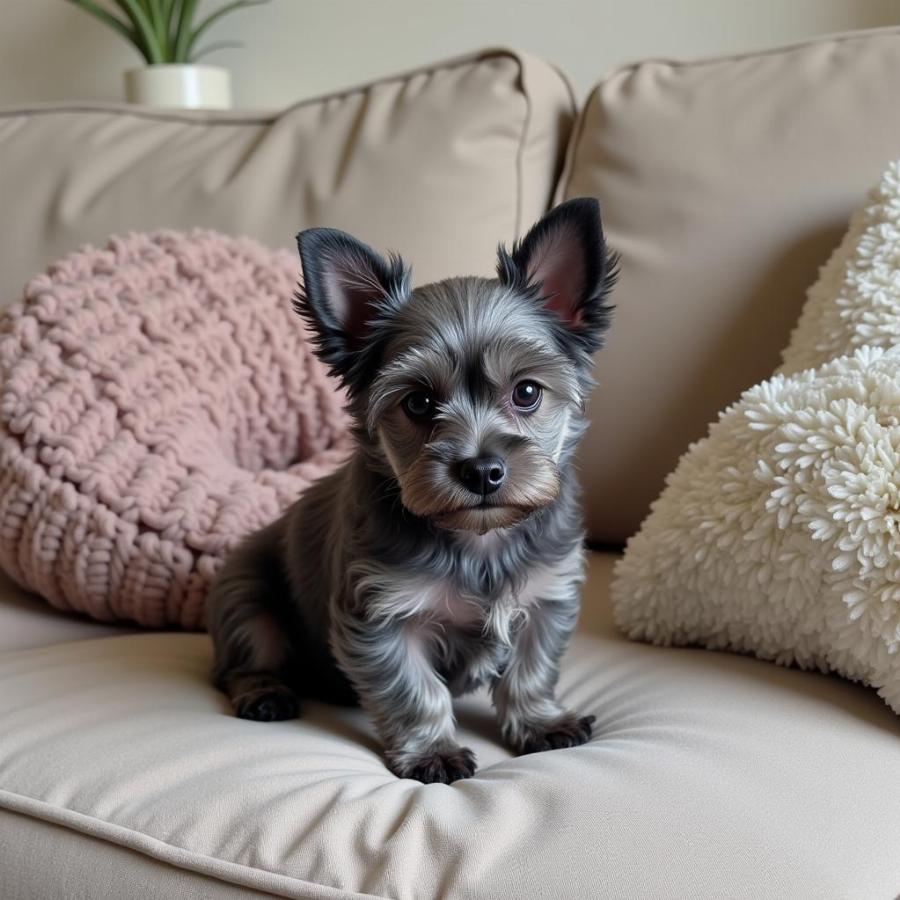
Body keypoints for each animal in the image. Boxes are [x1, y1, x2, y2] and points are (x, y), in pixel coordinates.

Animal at [209, 197, 620, 780]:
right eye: (419, 403)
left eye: (527, 392)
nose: (482, 470)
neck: (478, 539)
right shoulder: (381, 616)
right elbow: (414, 690)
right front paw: (433, 751)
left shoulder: (545, 597)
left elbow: (531, 670)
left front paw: (540, 723)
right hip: (247, 599)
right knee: (243, 660)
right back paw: (265, 694)